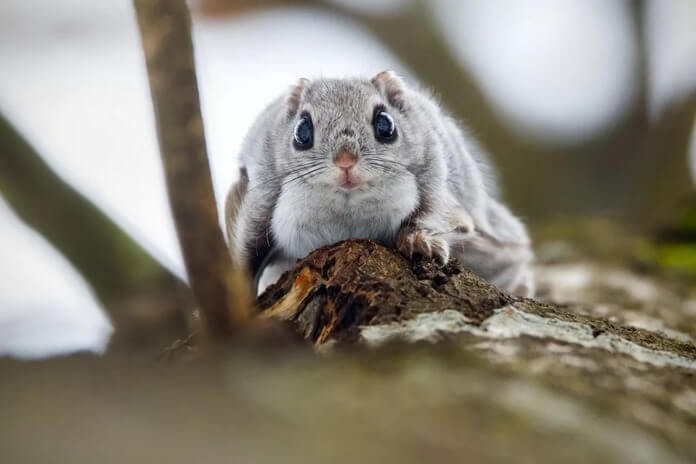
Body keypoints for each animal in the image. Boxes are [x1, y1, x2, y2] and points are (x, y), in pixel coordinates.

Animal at [225, 71, 534, 297]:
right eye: (302, 131)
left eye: (385, 123)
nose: (345, 161)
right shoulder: (261, 191)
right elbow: (248, 246)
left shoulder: (434, 171)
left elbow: (432, 211)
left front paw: (420, 241)